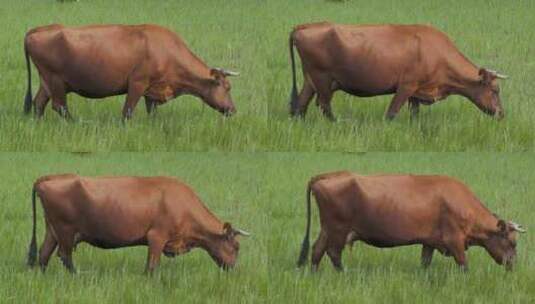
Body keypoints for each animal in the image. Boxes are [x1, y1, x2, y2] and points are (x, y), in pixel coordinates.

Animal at [23, 23, 237, 120]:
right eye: (227, 87)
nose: (233, 110)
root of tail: (39, 29)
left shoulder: (153, 89)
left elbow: (152, 112)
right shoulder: (137, 83)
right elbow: (127, 111)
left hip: (47, 82)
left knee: (39, 103)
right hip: (56, 81)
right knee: (59, 107)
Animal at [26, 173, 249, 274]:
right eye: (236, 247)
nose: (233, 269)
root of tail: (49, 178)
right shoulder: (156, 237)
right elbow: (151, 266)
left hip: (52, 230)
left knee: (44, 254)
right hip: (65, 230)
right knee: (64, 255)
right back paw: (77, 275)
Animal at [292, 22, 508, 120]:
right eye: (495, 90)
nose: (501, 114)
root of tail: (305, 26)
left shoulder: (417, 91)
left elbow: (414, 114)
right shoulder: (406, 86)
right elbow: (392, 113)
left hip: (310, 80)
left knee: (301, 105)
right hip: (322, 79)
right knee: (323, 105)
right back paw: (338, 123)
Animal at [298, 171, 528, 274]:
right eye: (512, 242)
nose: (513, 264)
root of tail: (328, 175)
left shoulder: (430, 242)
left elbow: (425, 262)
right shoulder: (454, 241)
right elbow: (464, 265)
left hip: (327, 229)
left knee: (317, 250)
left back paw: (315, 273)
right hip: (338, 228)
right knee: (333, 253)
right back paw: (343, 274)